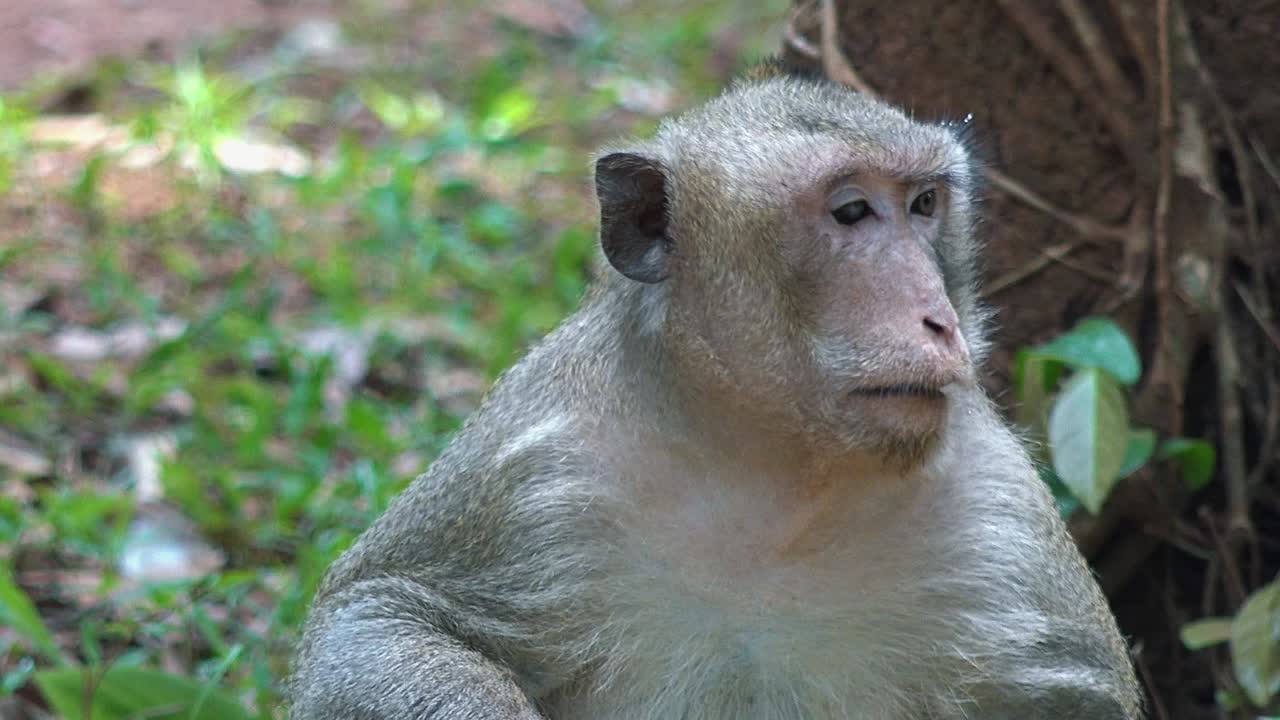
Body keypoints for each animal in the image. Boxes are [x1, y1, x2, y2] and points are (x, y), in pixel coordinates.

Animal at [289, 60, 1144, 719]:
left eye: (925, 204)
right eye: (852, 210)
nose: (939, 319)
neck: (778, 473)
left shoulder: (1002, 520)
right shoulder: (537, 452)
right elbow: (380, 613)